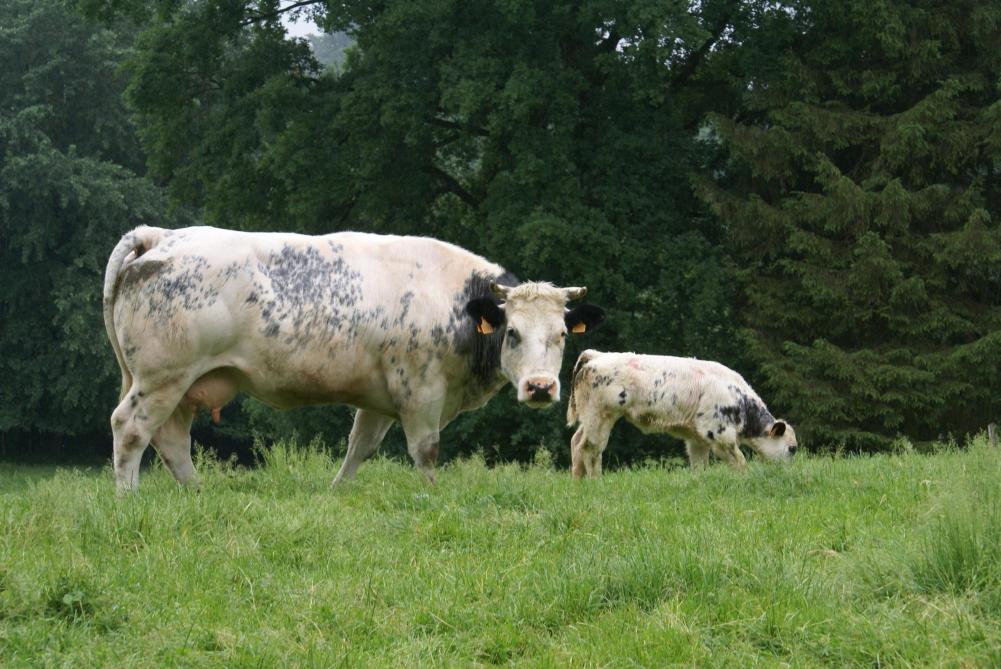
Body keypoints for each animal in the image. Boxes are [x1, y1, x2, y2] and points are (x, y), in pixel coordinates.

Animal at [103, 226, 600, 490]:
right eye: (512, 333)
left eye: (561, 335)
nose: (540, 387)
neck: (453, 301)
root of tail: (164, 236)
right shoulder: (420, 391)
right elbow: (425, 451)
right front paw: (434, 497)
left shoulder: (378, 398)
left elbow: (359, 447)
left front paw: (335, 493)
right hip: (162, 377)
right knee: (130, 429)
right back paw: (128, 498)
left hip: (185, 384)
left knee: (171, 440)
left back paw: (197, 492)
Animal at [568, 348, 800, 478]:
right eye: (792, 448)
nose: (787, 472)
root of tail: (596, 356)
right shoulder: (720, 434)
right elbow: (739, 461)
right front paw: (744, 478)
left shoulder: (697, 439)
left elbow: (699, 466)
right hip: (600, 416)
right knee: (589, 448)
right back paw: (596, 482)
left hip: (589, 418)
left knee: (576, 442)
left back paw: (578, 483)